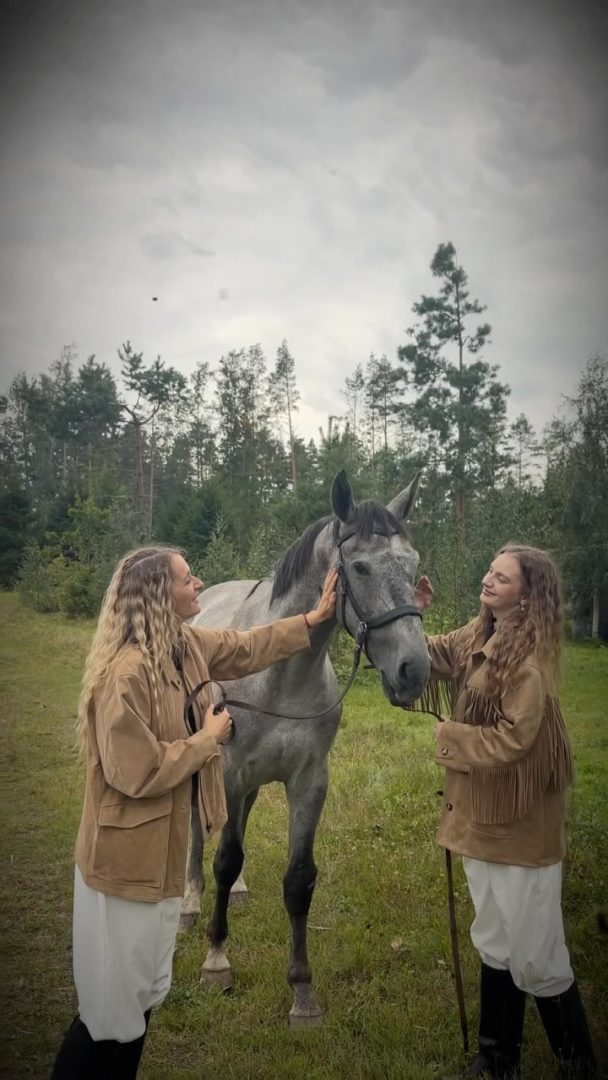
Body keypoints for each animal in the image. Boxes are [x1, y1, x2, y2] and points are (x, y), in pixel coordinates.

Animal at [183, 469, 431, 1026]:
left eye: (413, 565)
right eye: (359, 566)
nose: (415, 670)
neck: (280, 672)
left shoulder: (309, 780)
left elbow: (298, 880)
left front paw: (302, 992)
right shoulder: (230, 771)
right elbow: (223, 858)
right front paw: (216, 959)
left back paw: (239, 893)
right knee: (199, 831)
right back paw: (188, 902)